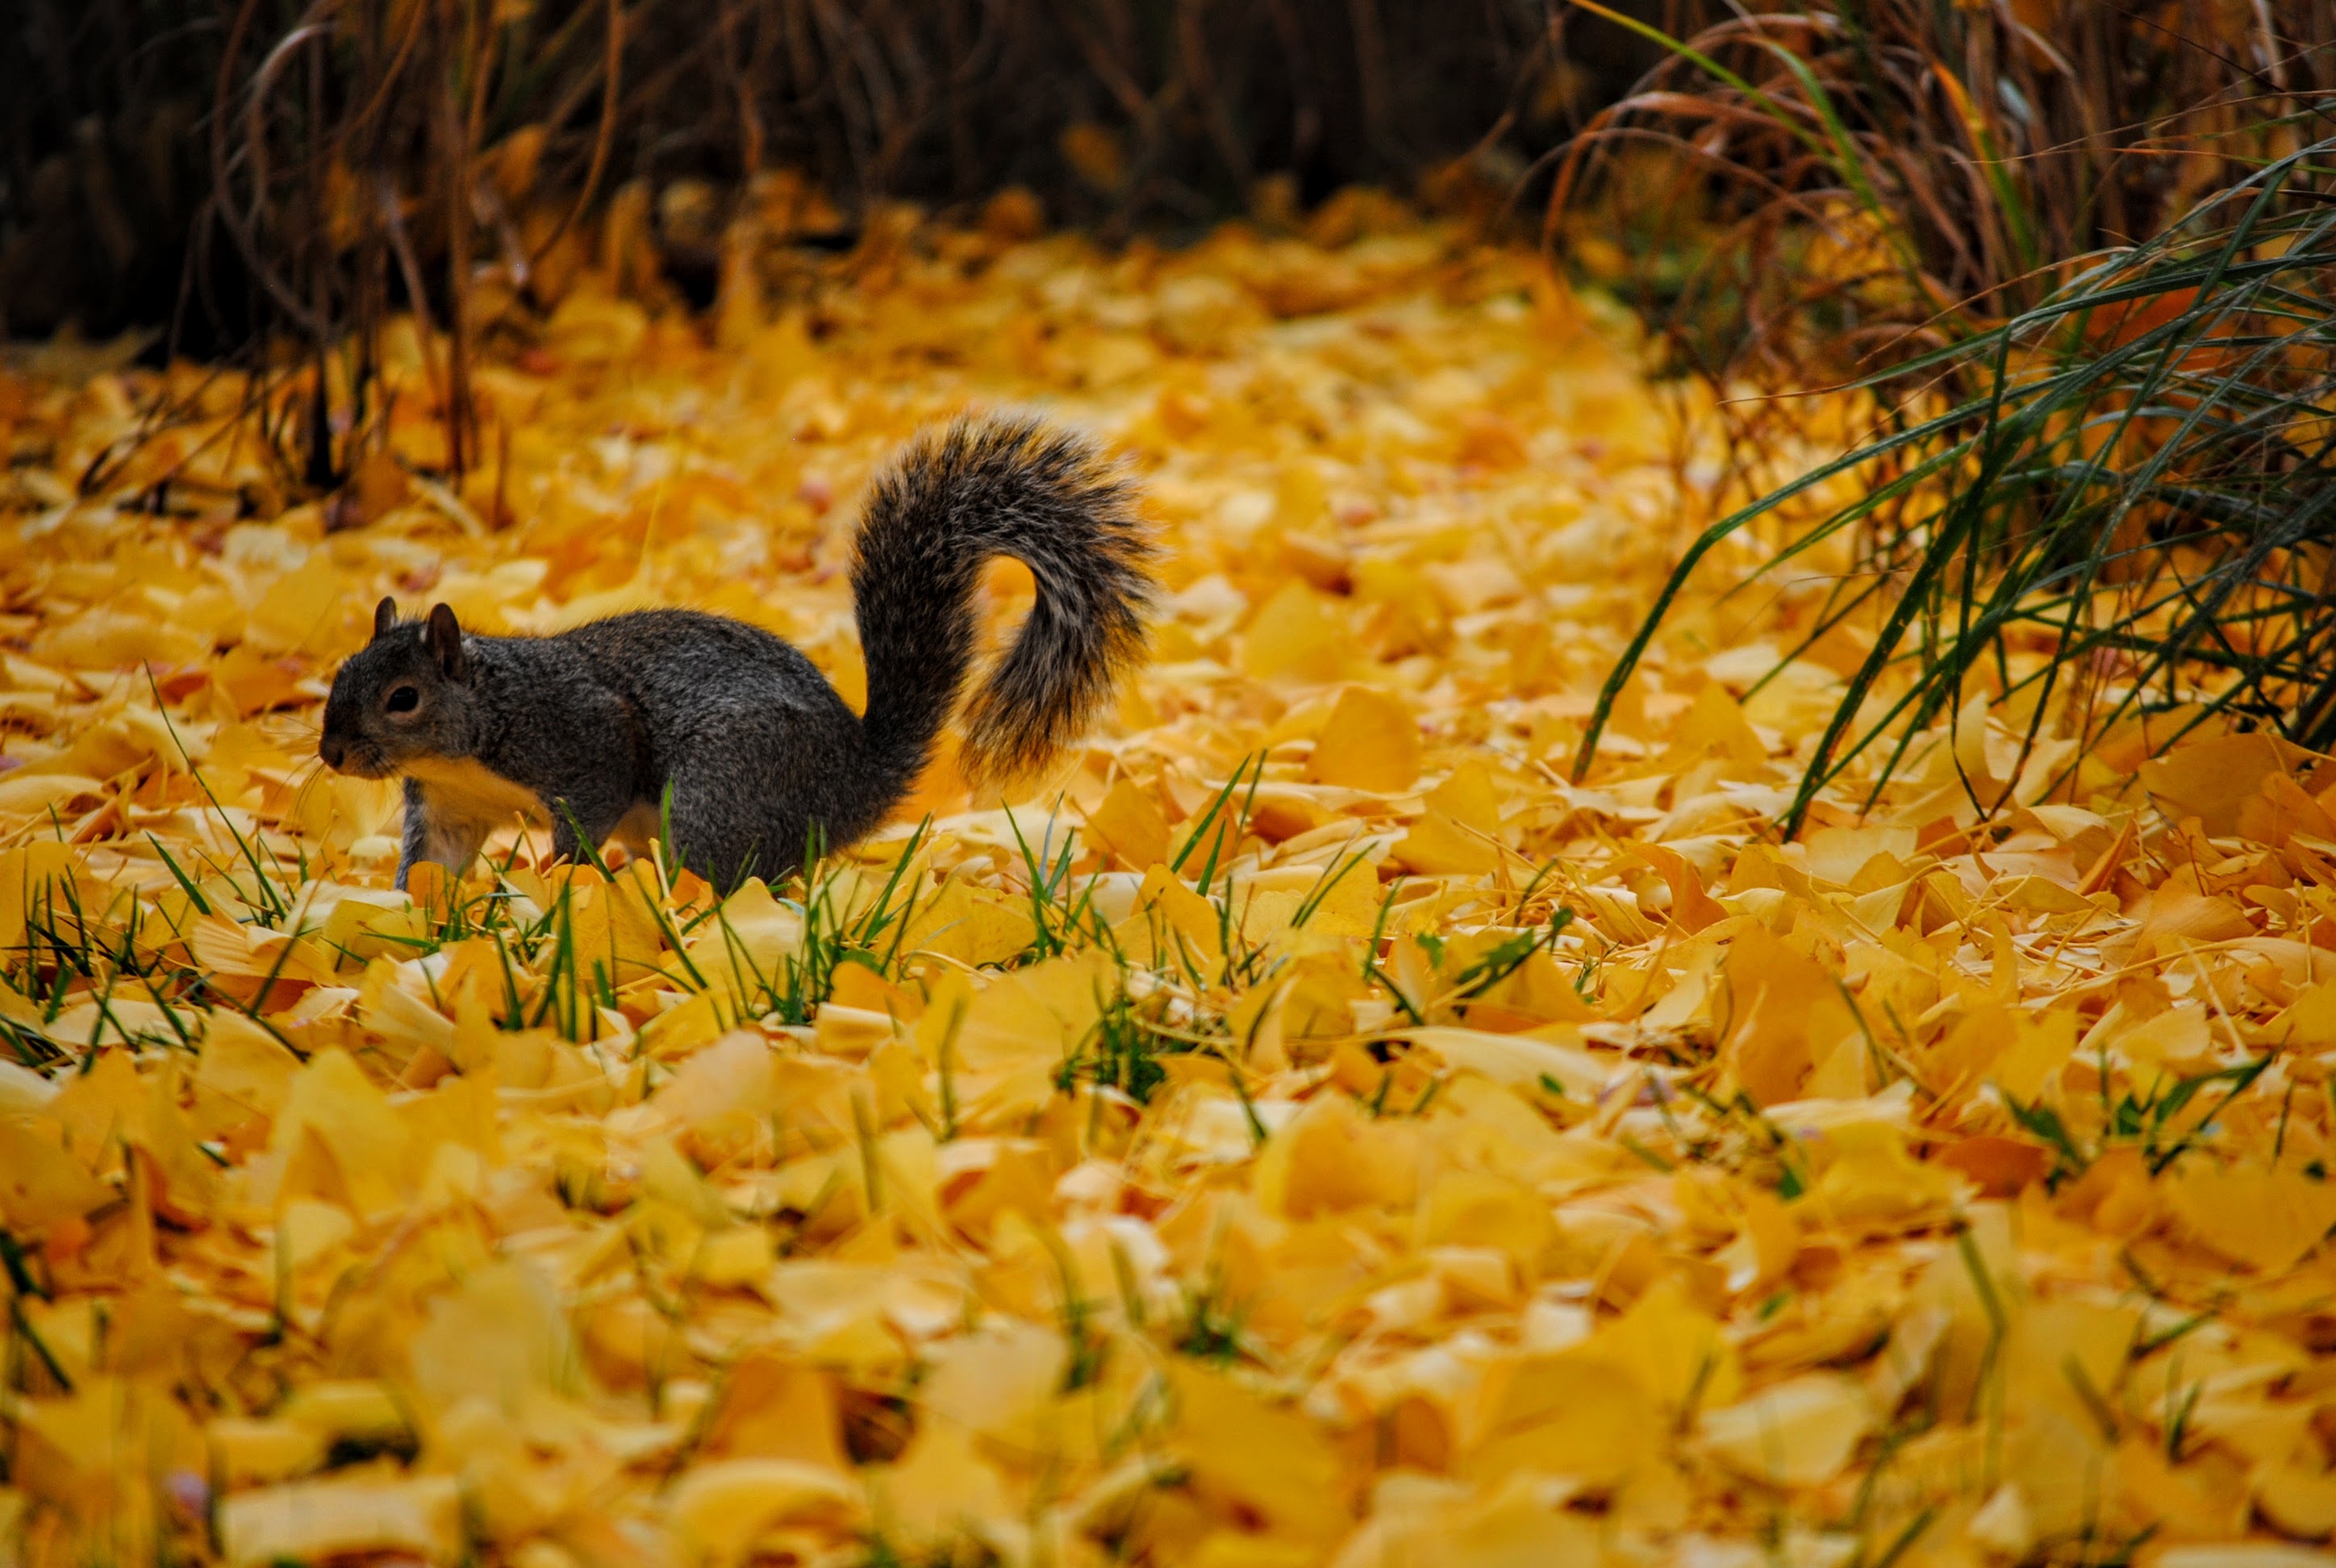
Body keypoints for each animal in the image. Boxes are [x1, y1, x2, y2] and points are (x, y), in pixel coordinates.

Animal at [324, 411, 1163, 897]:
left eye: (404, 698)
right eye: (338, 678)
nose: (332, 756)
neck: (480, 721)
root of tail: (852, 783)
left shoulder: (580, 736)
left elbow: (587, 807)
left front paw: (560, 889)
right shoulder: (450, 804)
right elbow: (432, 864)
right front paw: (407, 918)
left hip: (718, 791)